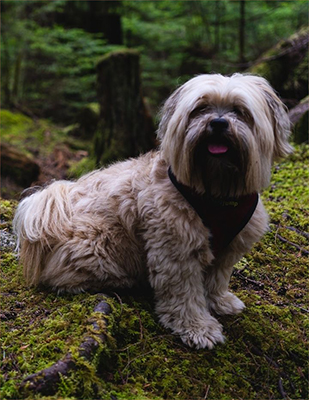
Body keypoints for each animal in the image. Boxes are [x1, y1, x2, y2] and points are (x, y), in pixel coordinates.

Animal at [12, 73, 292, 348]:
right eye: (200, 109)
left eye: (239, 111)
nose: (219, 123)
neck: (216, 192)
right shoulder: (176, 249)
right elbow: (184, 293)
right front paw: (197, 327)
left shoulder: (227, 249)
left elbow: (217, 278)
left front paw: (219, 302)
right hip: (100, 242)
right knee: (60, 276)